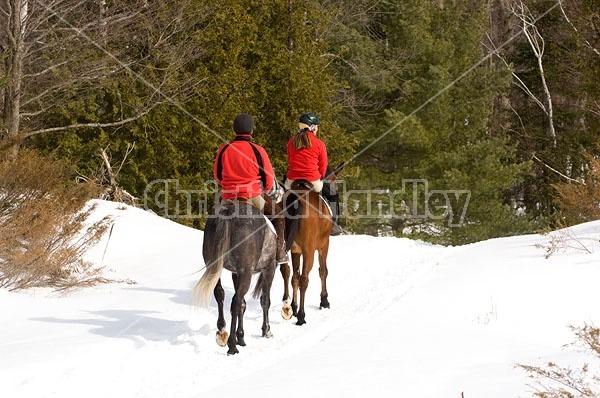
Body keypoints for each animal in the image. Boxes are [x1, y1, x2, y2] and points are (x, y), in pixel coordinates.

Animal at [278, 166, 340, 324]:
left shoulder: (295, 250)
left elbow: (294, 276)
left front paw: (293, 306)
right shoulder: (324, 245)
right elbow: (323, 271)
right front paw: (324, 300)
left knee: (292, 274)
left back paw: (293, 308)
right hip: (309, 251)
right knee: (304, 278)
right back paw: (301, 316)